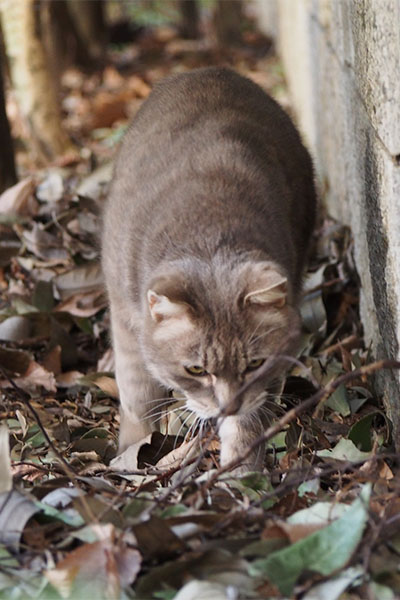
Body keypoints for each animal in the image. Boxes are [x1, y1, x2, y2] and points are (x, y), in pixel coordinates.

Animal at [102, 67, 316, 474]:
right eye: (196, 370)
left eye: (255, 364)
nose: (227, 407)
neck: (209, 239)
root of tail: (210, 70)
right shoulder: (124, 314)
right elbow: (136, 392)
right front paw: (130, 451)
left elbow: (249, 423)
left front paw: (241, 476)